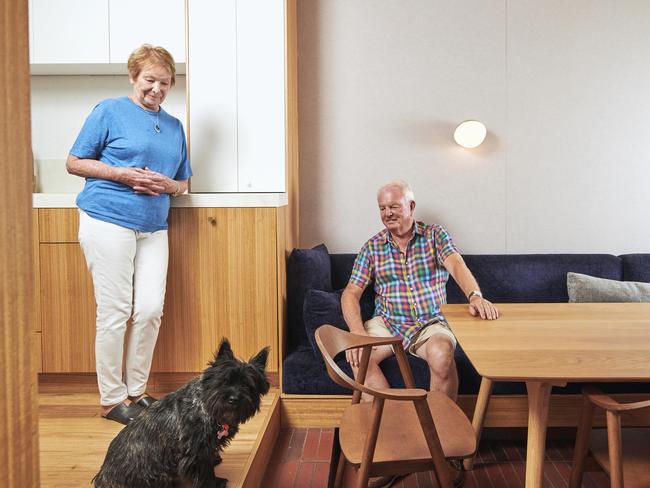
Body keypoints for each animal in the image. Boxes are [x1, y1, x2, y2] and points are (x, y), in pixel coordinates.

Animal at [93, 340, 268, 488]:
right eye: (225, 381)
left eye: (248, 385)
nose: (234, 399)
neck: (205, 406)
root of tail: (103, 477)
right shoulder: (195, 452)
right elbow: (205, 471)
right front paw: (214, 483)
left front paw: (215, 460)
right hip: (157, 475)